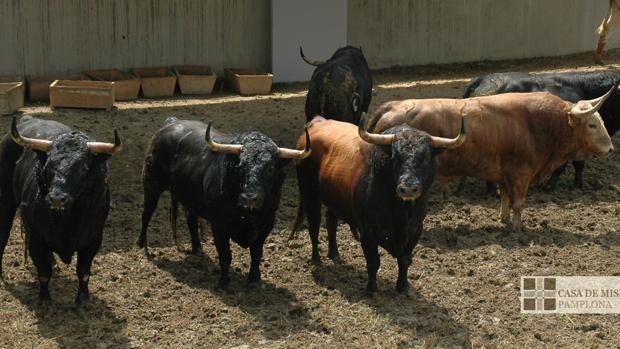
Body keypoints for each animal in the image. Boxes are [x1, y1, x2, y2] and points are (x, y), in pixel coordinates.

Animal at [0, 115, 123, 304]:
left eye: (83, 167)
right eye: (47, 167)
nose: (57, 198)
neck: (67, 221)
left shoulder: (94, 240)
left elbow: (83, 272)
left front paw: (83, 299)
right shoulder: (35, 239)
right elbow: (43, 272)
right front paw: (45, 300)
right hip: (6, 200)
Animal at [136, 117, 310, 288]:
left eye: (271, 169)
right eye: (240, 166)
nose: (249, 198)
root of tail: (170, 122)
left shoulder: (266, 224)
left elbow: (256, 253)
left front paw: (255, 279)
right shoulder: (219, 225)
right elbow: (225, 255)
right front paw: (224, 283)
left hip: (189, 197)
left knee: (191, 220)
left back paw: (197, 248)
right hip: (151, 185)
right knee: (146, 214)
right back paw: (141, 243)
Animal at [290, 113, 464, 294]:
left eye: (426, 158)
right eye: (395, 157)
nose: (408, 188)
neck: (400, 210)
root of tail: (317, 122)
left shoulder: (415, 230)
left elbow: (405, 260)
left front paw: (403, 287)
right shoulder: (367, 231)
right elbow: (373, 262)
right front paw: (371, 289)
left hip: (333, 198)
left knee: (331, 222)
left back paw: (334, 254)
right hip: (309, 193)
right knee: (314, 225)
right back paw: (316, 258)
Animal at [368, 89, 616, 231]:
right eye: (592, 124)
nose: (611, 148)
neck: (539, 124)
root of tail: (393, 106)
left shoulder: (504, 174)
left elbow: (505, 198)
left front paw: (504, 220)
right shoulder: (521, 175)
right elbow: (518, 203)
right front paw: (517, 229)